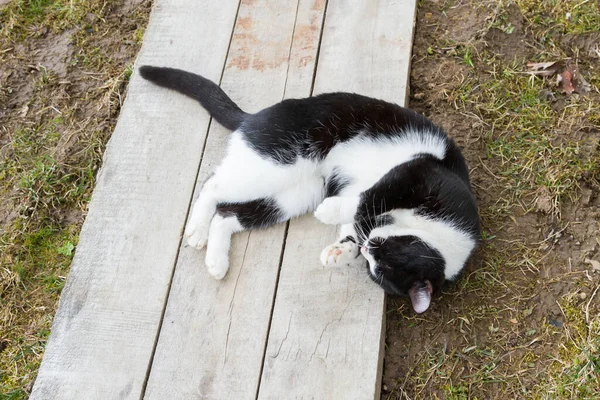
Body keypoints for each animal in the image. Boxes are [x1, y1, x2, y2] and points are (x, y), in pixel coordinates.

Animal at [138, 65, 480, 314]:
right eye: (386, 254)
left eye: (376, 268)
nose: (369, 247)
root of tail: (254, 117)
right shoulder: (417, 173)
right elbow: (370, 196)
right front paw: (334, 212)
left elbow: (355, 223)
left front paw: (340, 251)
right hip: (276, 163)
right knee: (213, 184)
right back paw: (197, 230)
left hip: (293, 195)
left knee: (227, 215)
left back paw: (216, 261)